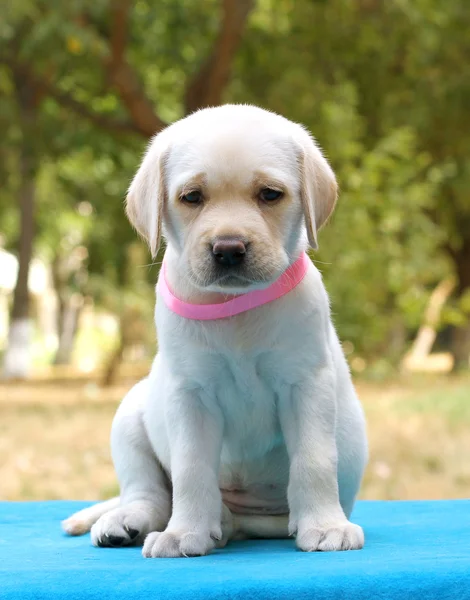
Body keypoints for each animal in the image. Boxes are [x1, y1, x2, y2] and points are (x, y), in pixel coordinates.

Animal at [63, 103, 368, 556]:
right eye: (192, 197)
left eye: (270, 194)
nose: (228, 249)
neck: (232, 308)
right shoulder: (190, 393)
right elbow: (191, 469)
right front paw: (184, 532)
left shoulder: (306, 383)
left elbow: (314, 459)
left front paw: (325, 525)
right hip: (129, 415)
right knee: (150, 494)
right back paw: (131, 520)